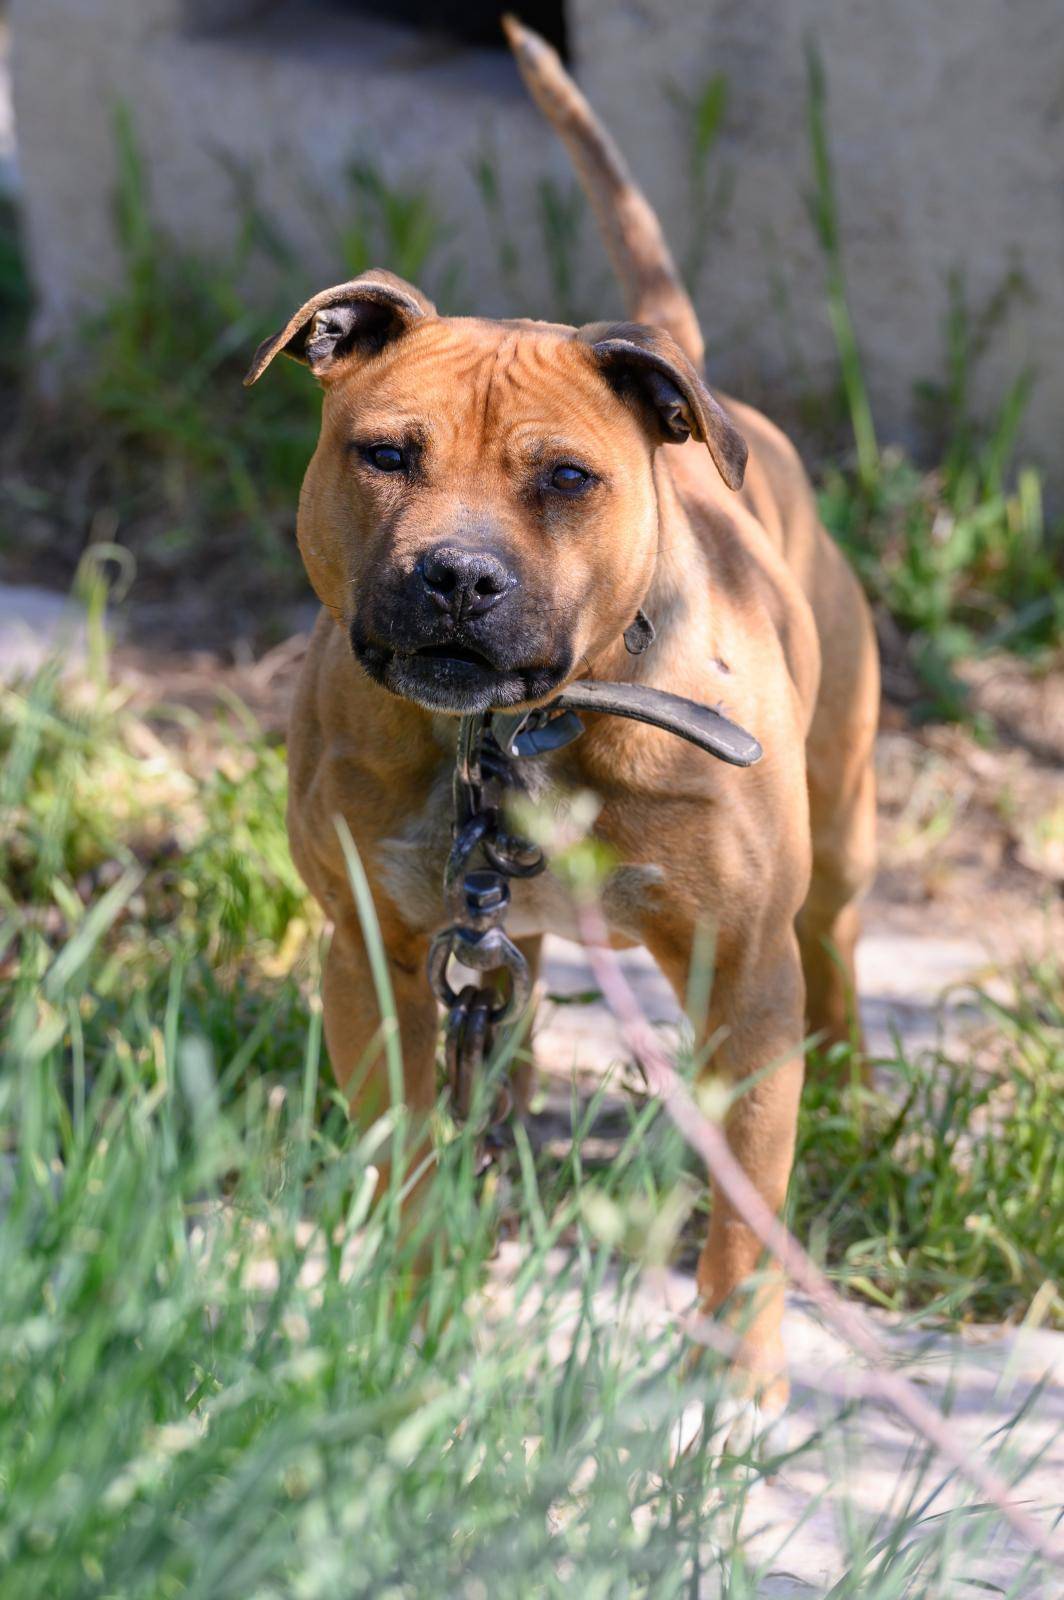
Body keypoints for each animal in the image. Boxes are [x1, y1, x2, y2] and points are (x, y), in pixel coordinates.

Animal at [244, 12, 876, 1414]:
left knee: (835, 945)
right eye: (385, 453)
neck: (514, 736)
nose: (457, 575)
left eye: (568, 479)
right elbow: (408, 1161)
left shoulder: (742, 978)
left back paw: (854, 1077)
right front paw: (412, 1323)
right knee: (502, 1011)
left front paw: (732, 1387)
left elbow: (741, 1205)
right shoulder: (371, 959)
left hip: (838, 829)